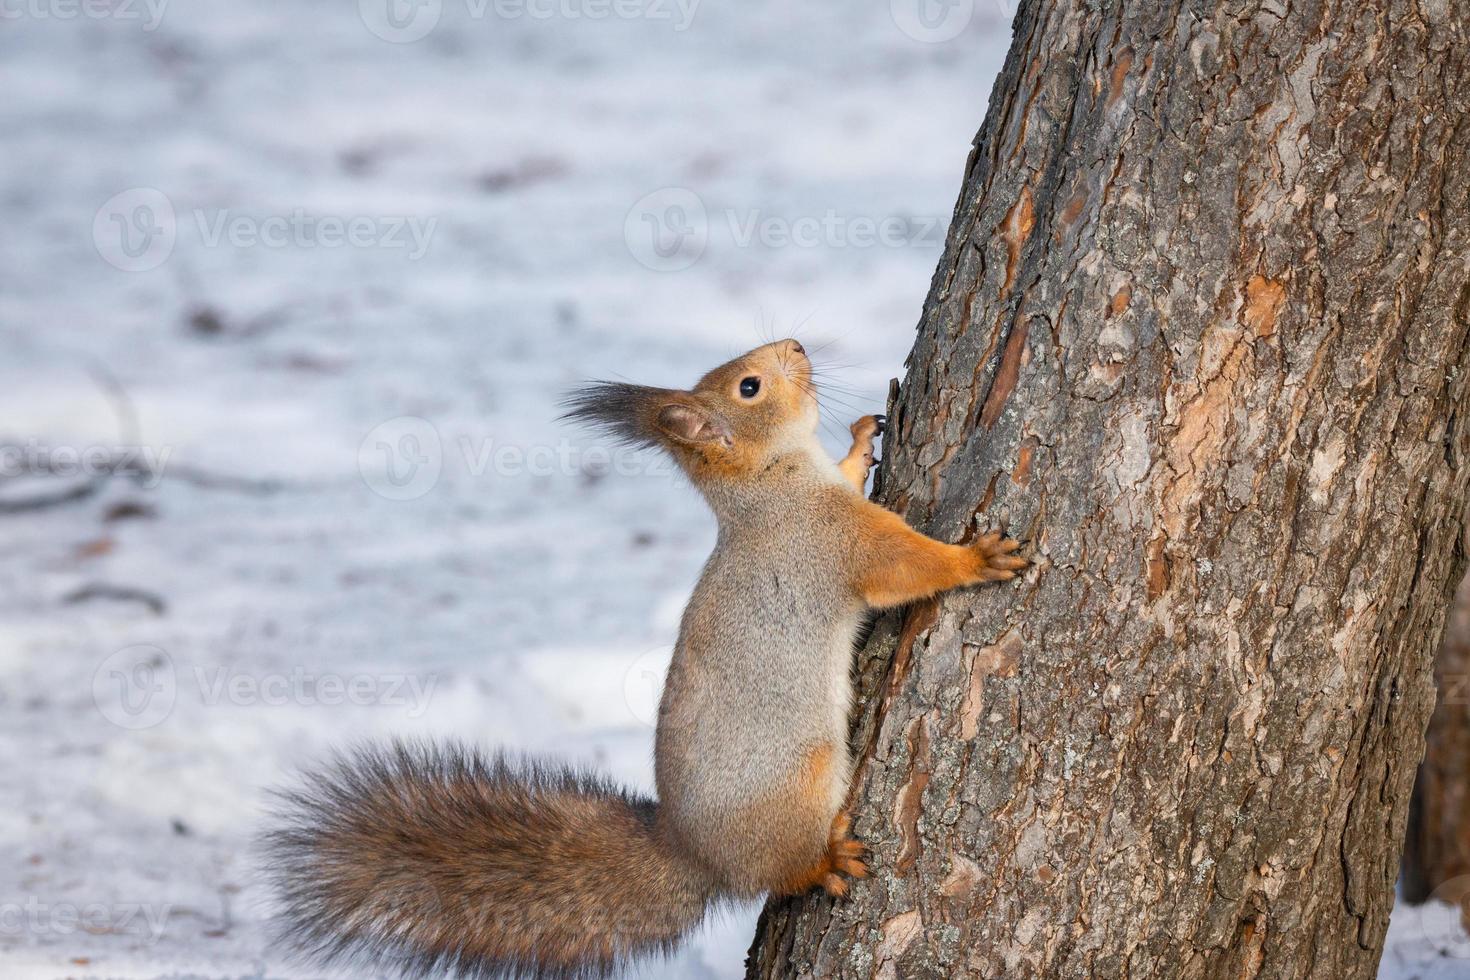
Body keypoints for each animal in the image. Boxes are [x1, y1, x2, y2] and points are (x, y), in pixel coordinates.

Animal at [261, 339, 1023, 980]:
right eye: (749, 387)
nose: (798, 345)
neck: (768, 488)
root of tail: (692, 852)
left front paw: (861, 440)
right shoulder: (830, 539)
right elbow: (904, 566)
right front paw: (975, 560)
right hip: (794, 787)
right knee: (784, 872)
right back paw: (827, 859)